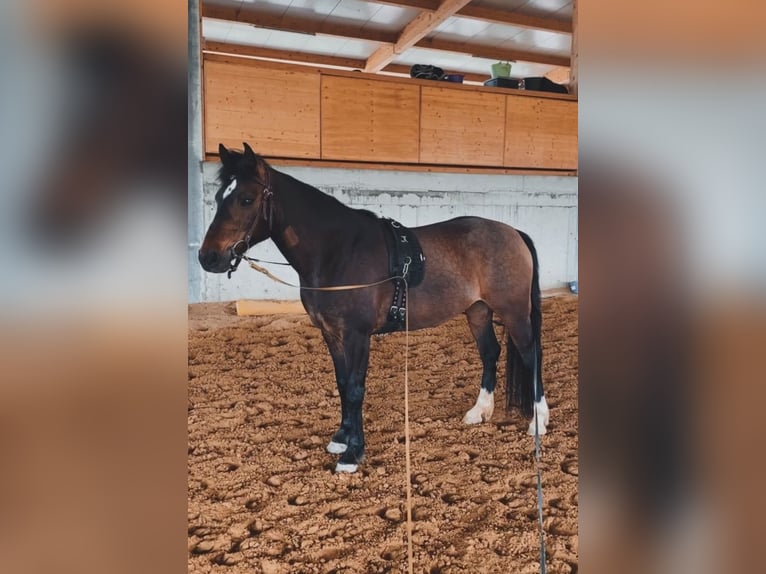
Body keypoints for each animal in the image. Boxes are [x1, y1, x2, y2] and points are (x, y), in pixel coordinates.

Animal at [198, 143, 544, 472]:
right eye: (218, 196)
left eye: (246, 199)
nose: (208, 258)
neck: (338, 251)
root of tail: (514, 233)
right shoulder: (331, 334)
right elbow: (341, 384)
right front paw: (341, 437)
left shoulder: (357, 335)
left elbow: (355, 388)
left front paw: (352, 454)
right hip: (478, 311)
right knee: (490, 353)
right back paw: (479, 412)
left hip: (514, 312)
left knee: (531, 355)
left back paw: (538, 422)